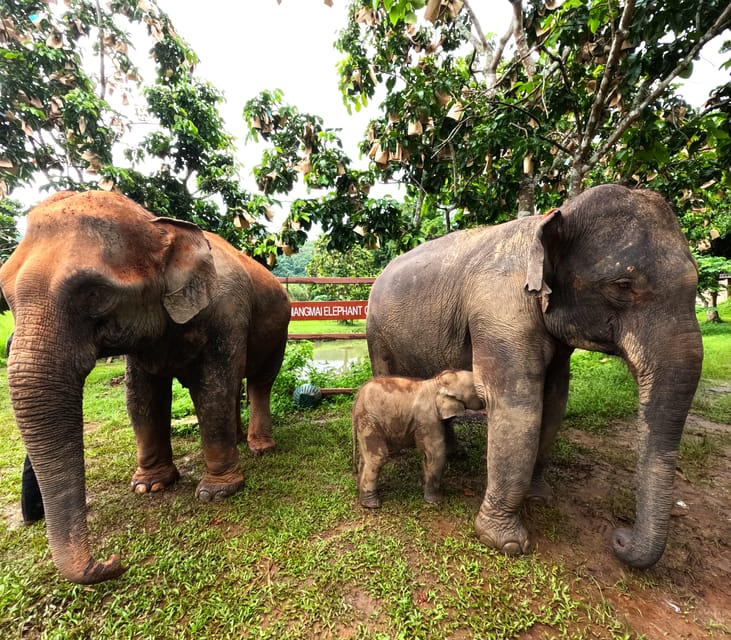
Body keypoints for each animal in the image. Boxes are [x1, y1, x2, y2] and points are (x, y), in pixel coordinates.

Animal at [0, 188, 292, 584]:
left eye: (94, 294)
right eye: (6, 296)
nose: (114, 560)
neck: (160, 225)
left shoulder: (227, 314)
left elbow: (212, 389)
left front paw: (217, 493)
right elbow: (142, 397)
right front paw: (149, 486)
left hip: (278, 327)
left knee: (260, 381)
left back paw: (260, 448)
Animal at [354, 370, 486, 510]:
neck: (437, 383)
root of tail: (358, 395)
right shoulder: (428, 418)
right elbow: (434, 455)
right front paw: (435, 501)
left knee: (365, 457)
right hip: (369, 420)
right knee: (377, 457)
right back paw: (371, 504)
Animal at [368, 182, 708, 568]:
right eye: (623, 285)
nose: (619, 537)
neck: (554, 216)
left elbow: (555, 399)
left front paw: (539, 497)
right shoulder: (501, 314)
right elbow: (518, 403)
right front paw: (507, 543)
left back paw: (454, 454)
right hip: (377, 332)